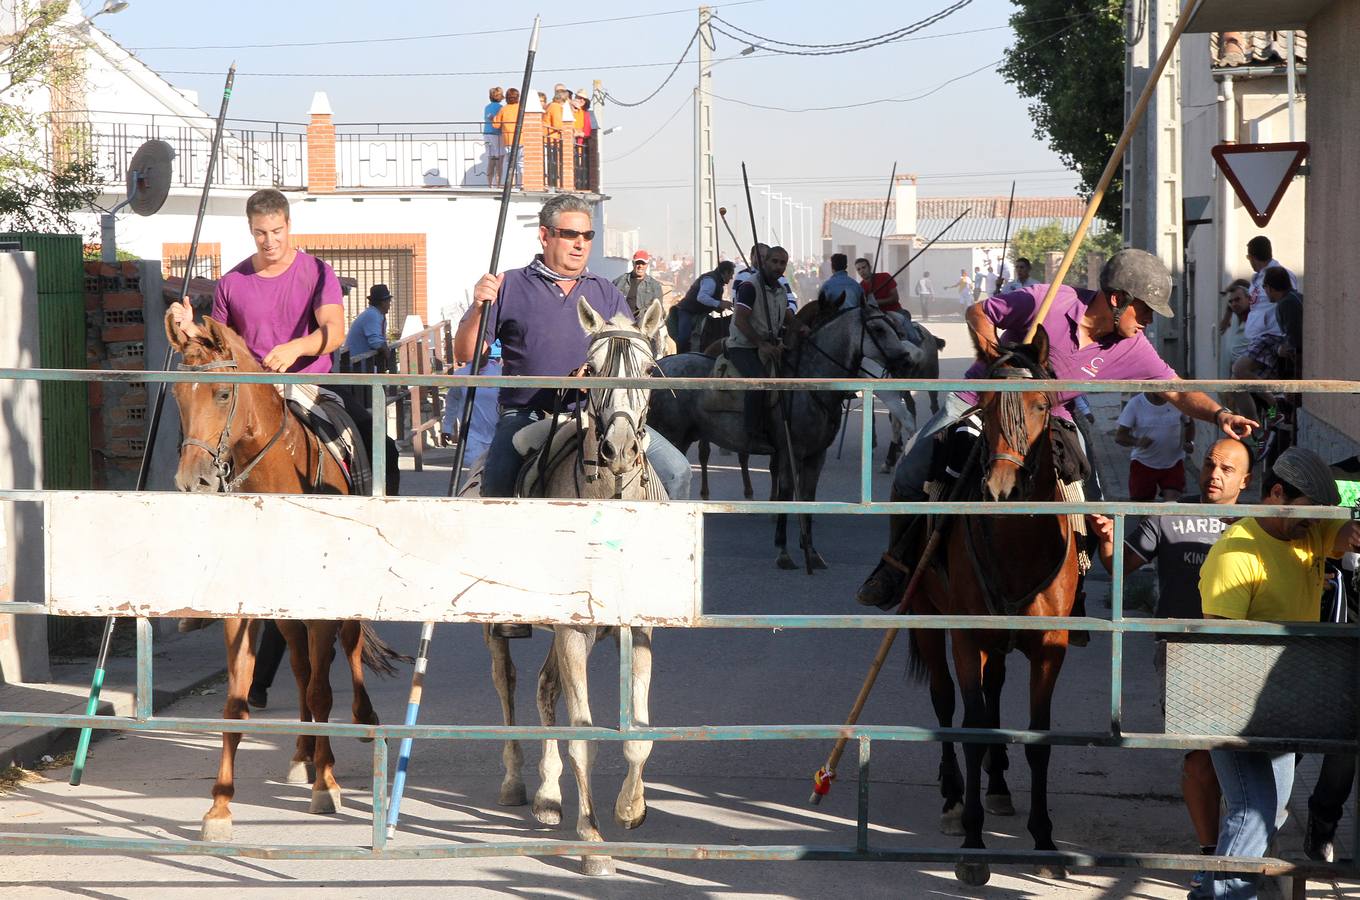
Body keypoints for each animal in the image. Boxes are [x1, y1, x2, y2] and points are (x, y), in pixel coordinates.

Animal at [163, 312, 402, 848]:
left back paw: (359, 723)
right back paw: (302, 753)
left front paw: (326, 786)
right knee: (299, 667)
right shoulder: (244, 609)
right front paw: (219, 806)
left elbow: (322, 691)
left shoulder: (321, 610)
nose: (193, 480)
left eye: (223, 394)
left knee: (344, 653)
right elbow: (237, 703)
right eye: (178, 396)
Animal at [903, 324, 1082, 886]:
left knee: (994, 689)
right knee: (945, 702)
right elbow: (973, 730)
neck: (1017, 545)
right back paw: (953, 798)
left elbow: (1038, 739)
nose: (1002, 488)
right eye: (985, 402)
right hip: (926, 617)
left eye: (1042, 406)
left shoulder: (1050, 646)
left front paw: (1044, 839)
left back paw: (998, 786)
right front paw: (973, 847)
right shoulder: (965, 636)